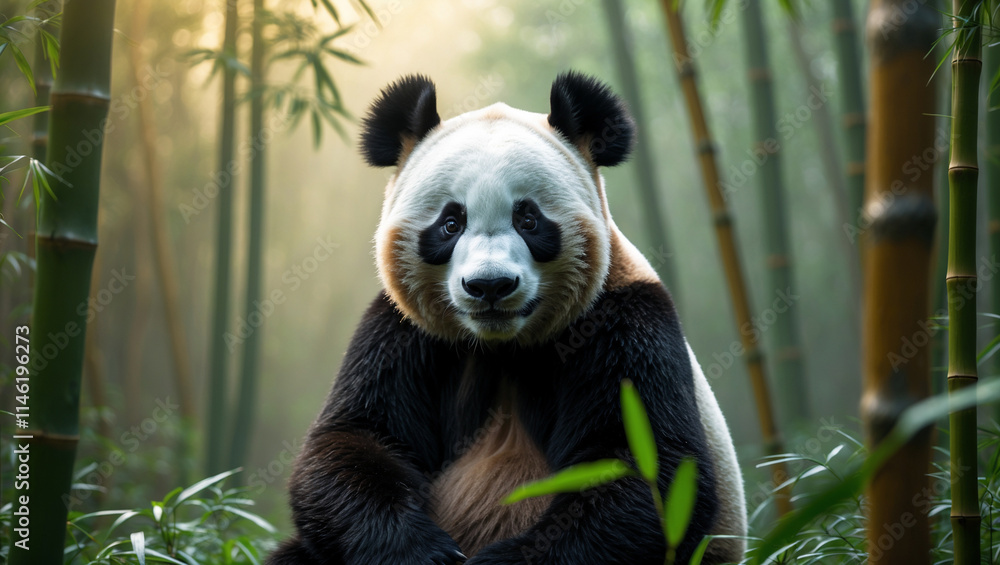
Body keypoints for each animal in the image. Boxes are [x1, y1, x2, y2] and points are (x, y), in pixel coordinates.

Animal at [267, 72, 747, 565]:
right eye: (451, 222)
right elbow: (356, 439)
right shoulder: (403, 332)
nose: (490, 285)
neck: (502, 346)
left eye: (528, 218)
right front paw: (424, 552)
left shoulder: (624, 322)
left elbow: (645, 469)